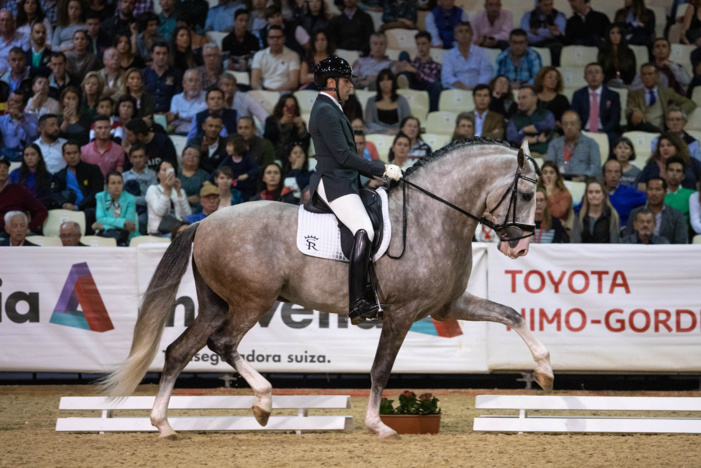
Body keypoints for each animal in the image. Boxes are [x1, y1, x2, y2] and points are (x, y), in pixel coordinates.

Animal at [100, 138, 554, 439]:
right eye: (526, 192)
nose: (520, 246)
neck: (432, 217)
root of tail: (203, 222)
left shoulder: (448, 305)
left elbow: (512, 314)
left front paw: (545, 372)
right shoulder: (403, 313)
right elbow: (380, 368)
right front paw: (377, 425)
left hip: (217, 304)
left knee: (179, 351)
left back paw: (163, 424)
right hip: (252, 301)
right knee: (222, 343)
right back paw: (262, 402)